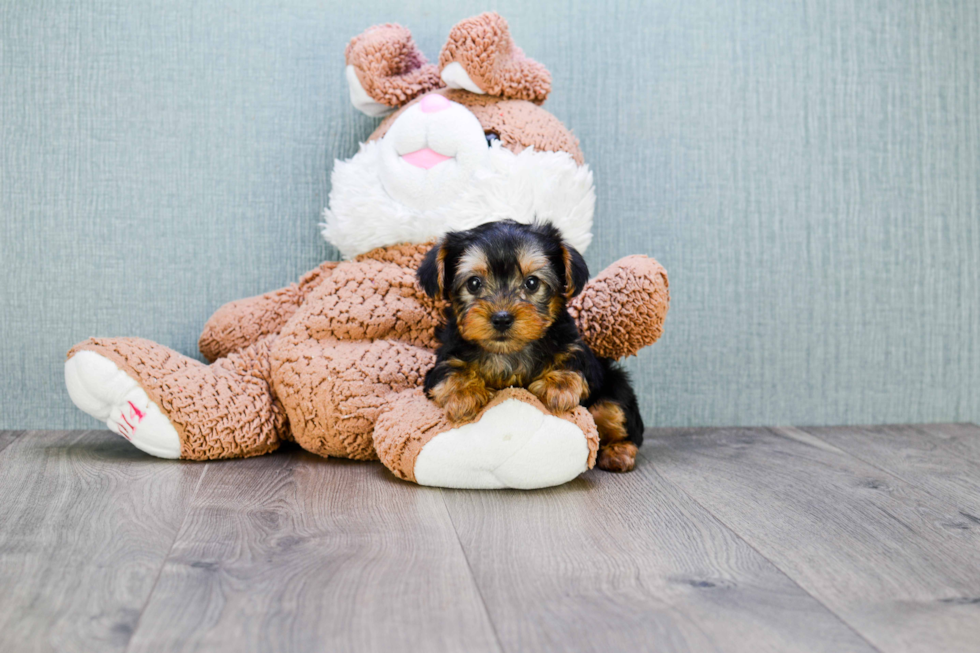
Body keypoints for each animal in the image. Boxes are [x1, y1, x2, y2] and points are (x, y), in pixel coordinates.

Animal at [414, 222, 644, 472]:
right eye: (473, 284)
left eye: (532, 283)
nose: (502, 318)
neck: (509, 352)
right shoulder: (443, 360)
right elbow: (450, 370)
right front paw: (464, 393)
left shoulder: (577, 349)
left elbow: (572, 359)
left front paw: (558, 386)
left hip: (615, 388)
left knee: (616, 415)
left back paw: (617, 452)